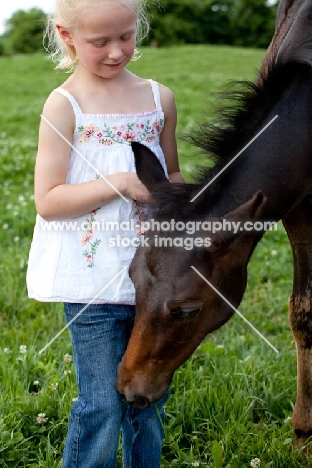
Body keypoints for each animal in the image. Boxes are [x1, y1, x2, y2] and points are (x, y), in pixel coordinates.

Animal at [115, 0, 312, 444]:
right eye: (132, 279)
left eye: (187, 309)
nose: (129, 389)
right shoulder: (298, 207)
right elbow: (303, 312)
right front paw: (303, 432)